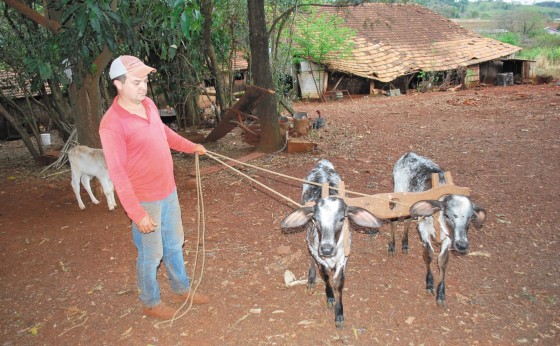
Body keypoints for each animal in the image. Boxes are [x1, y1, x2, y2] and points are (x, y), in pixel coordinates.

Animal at [282, 159, 382, 328]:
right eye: (315, 219)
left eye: (342, 218)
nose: (327, 249)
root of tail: (322, 164)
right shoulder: (318, 251)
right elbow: (325, 275)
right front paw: (329, 297)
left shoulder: (344, 257)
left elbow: (339, 282)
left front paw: (339, 314)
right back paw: (311, 278)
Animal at [390, 153, 486, 306]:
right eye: (447, 215)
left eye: (470, 218)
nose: (462, 245)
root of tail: (409, 154)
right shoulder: (424, 230)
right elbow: (428, 255)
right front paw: (429, 284)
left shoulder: (448, 238)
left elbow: (442, 261)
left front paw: (441, 294)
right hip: (398, 194)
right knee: (394, 219)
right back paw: (392, 246)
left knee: (407, 219)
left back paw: (405, 244)